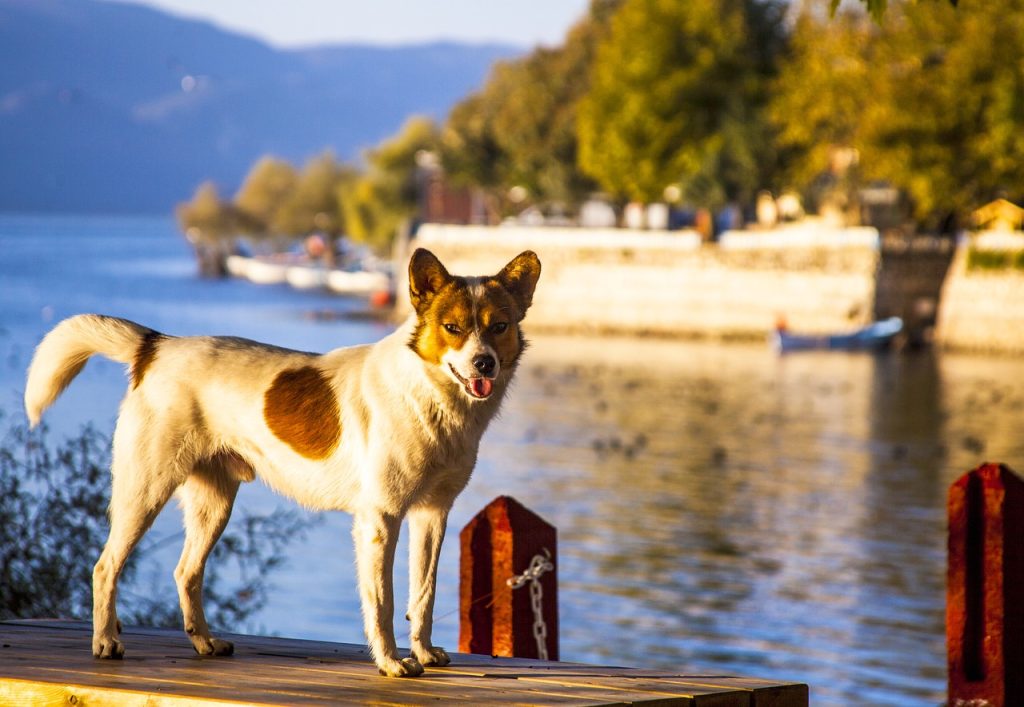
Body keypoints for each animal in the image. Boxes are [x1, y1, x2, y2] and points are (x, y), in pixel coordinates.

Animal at [24, 244, 540, 676]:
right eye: (453, 328)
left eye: (499, 326)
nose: (484, 364)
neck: (428, 393)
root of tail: (157, 346)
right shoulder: (381, 519)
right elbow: (384, 601)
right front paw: (392, 662)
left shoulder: (433, 514)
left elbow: (424, 594)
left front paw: (425, 653)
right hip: (144, 491)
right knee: (105, 565)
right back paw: (106, 642)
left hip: (213, 505)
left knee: (186, 572)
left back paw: (204, 643)